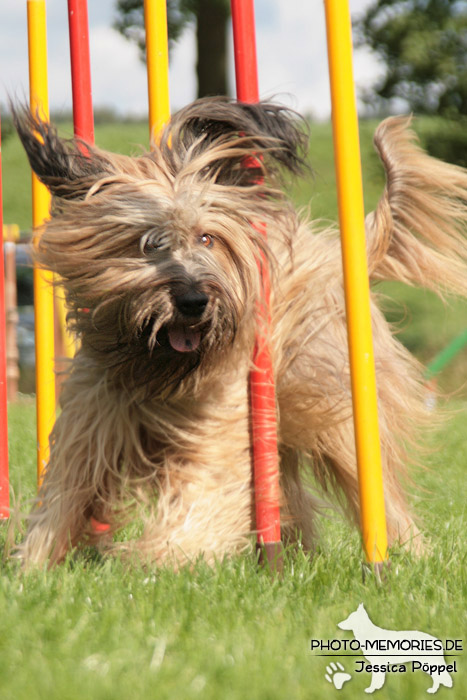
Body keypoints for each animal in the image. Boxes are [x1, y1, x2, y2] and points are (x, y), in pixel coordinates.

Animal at [12, 98, 467, 568]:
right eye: (148, 243)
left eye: (207, 238)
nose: (194, 300)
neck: (157, 372)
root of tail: (335, 251)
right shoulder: (93, 420)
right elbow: (64, 495)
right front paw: (33, 566)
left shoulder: (219, 424)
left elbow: (202, 494)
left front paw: (158, 557)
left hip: (335, 403)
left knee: (372, 484)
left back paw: (399, 551)